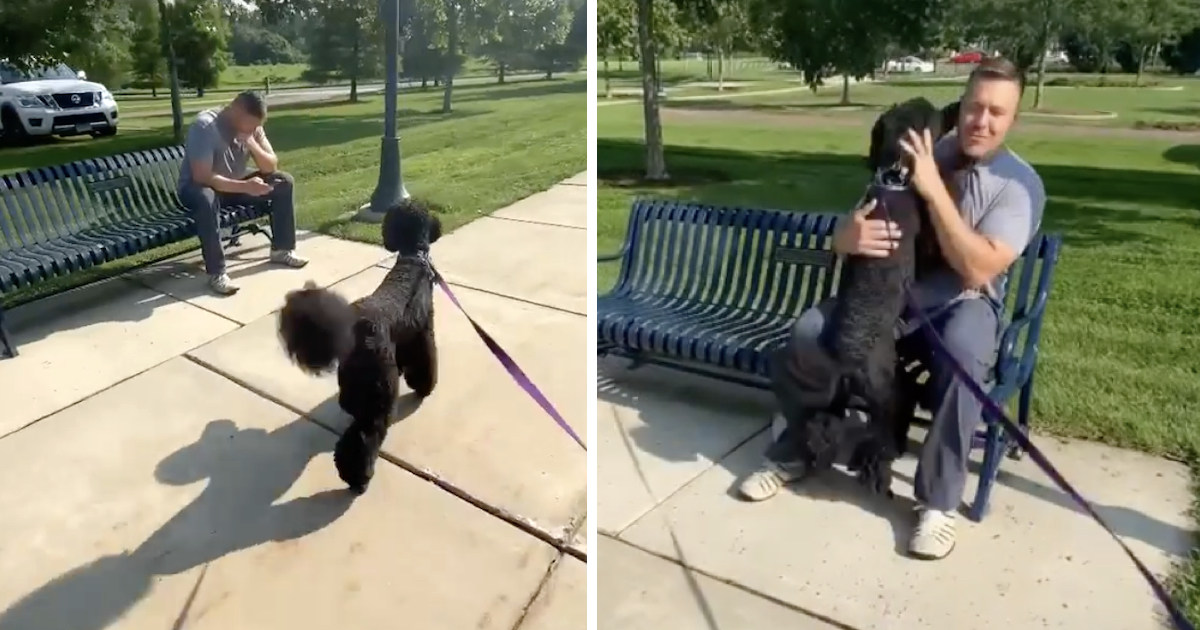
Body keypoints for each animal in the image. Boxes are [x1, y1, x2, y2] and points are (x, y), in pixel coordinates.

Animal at [278, 199, 444, 494]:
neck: (413, 258)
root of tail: (352, 327)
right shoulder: (422, 332)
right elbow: (424, 362)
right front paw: (424, 387)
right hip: (379, 399)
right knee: (364, 439)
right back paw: (358, 479)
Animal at [792, 97, 960, 496]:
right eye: (933, 116)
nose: (951, 106)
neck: (894, 178)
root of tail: (848, 365)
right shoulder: (926, 239)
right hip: (887, 386)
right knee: (886, 426)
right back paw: (880, 468)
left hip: (833, 396)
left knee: (822, 426)